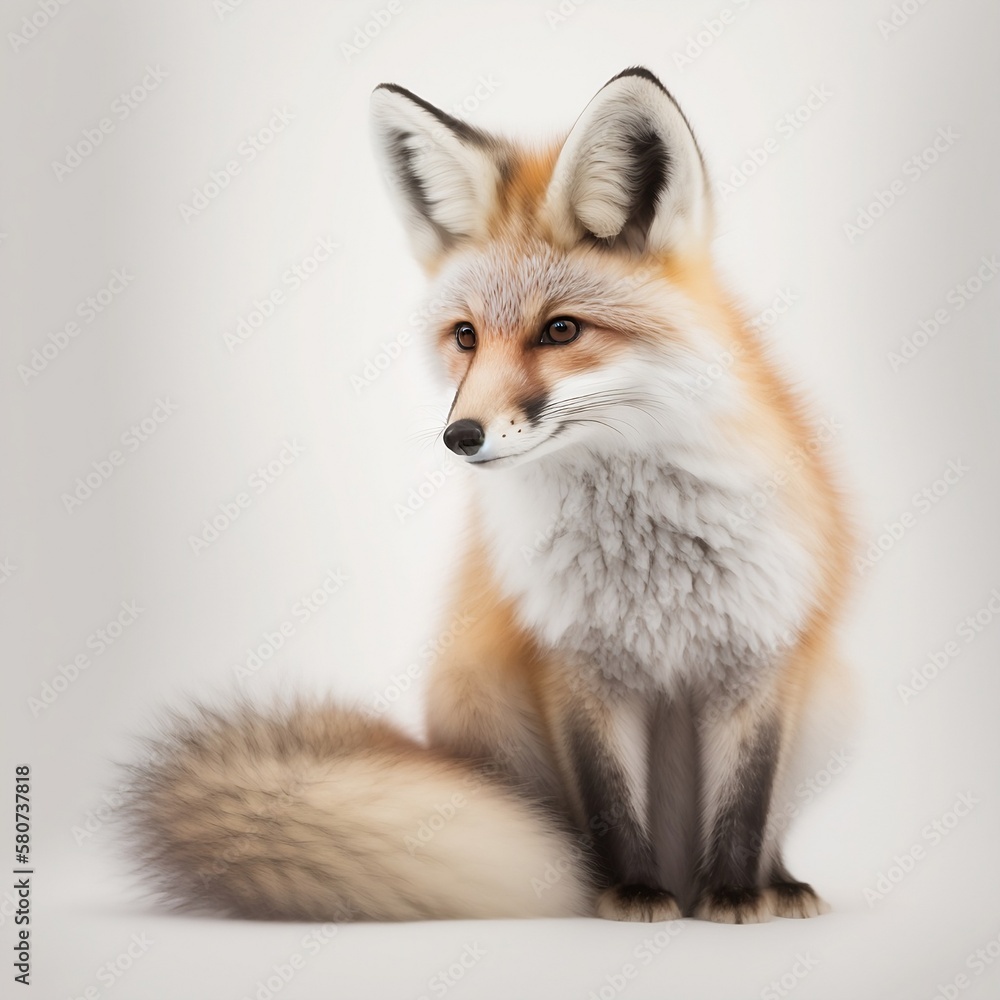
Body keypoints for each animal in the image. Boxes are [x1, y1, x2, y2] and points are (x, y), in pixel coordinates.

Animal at [123, 67, 854, 924]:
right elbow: (608, 803)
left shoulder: (762, 653)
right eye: (466, 337)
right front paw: (629, 894)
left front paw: (738, 895)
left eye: (561, 331)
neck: (647, 564)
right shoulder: (571, 663)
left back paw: (776, 881)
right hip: (480, 702)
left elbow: (746, 800)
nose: (460, 436)